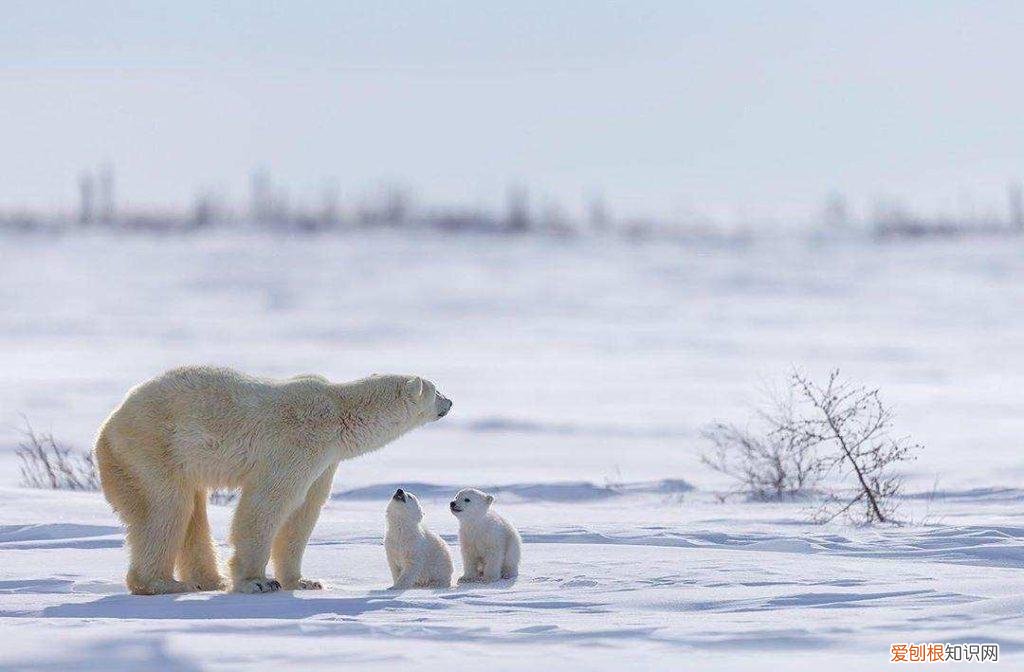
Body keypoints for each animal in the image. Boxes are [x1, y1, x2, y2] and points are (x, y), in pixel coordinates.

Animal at [93, 366, 452, 595]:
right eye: (436, 390)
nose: (449, 402)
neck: (339, 414)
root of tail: (107, 427)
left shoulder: (325, 461)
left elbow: (304, 513)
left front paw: (304, 582)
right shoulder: (298, 444)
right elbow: (268, 503)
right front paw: (257, 581)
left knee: (192, 512)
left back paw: (208, 580)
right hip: (153, 449)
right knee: (166, 509)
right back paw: (162, 583)